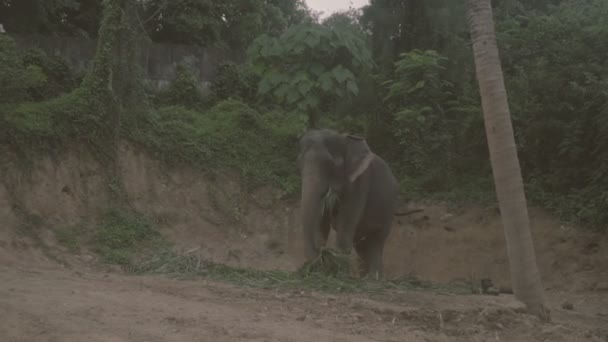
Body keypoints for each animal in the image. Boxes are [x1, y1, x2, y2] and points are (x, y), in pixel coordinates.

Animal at [298, 127, 402, 278]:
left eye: (330, 164)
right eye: (299, 163)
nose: (320, 257)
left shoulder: (361, 181)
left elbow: (345, 223)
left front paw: (340, 274)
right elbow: (321, 221)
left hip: (389, 211)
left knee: (376, 242)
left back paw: (373, 278)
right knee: (362, 246)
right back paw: (364, 277)